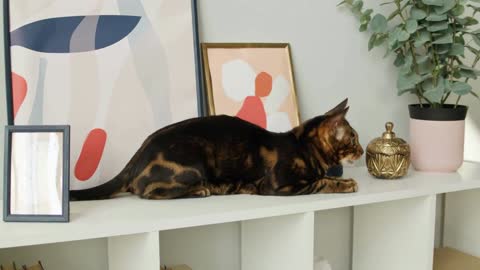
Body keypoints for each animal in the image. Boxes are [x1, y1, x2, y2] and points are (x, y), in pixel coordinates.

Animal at [70, 99, 364, 200]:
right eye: (354, 138)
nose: (362, 151)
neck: (303, 147)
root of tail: (138, 153)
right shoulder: (279, 185)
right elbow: (322, 182)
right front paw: (347, 183)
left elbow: (322, 178)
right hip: (193, 158)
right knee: (147, 190)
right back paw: (203, 190)